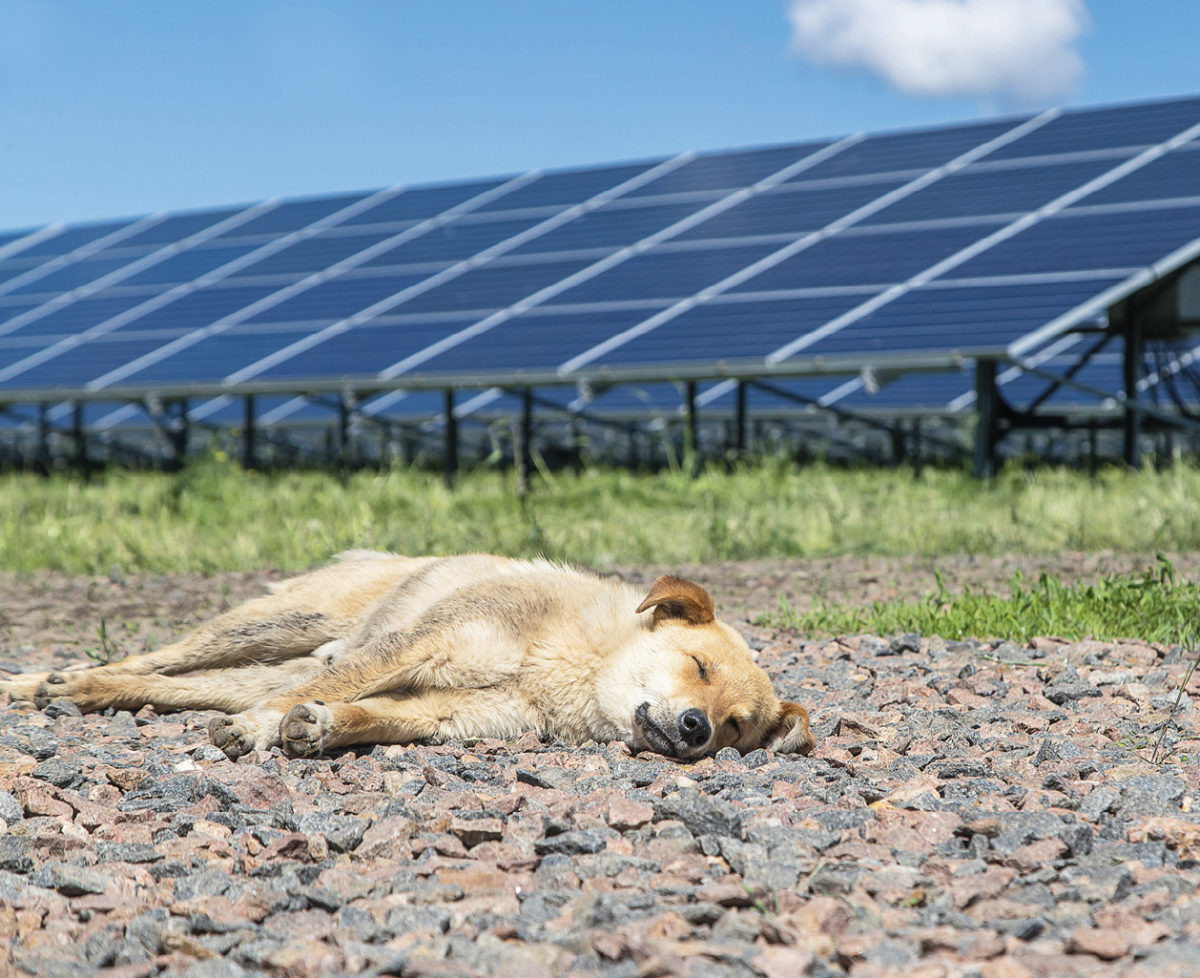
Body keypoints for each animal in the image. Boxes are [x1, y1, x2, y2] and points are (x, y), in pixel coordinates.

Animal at [2, 554, 816, 763]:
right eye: (699, 668)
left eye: (737, 726)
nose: (697, 732)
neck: (572, 666)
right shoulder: (423, 644)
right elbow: (345, 683)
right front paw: (266, 730)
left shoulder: (453, 713)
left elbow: (369, 714)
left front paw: (321, 727)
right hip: (271, 626)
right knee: (162, 655)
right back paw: (45, 679)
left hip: (251, 665)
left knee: (169, 684)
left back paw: (76, 691)